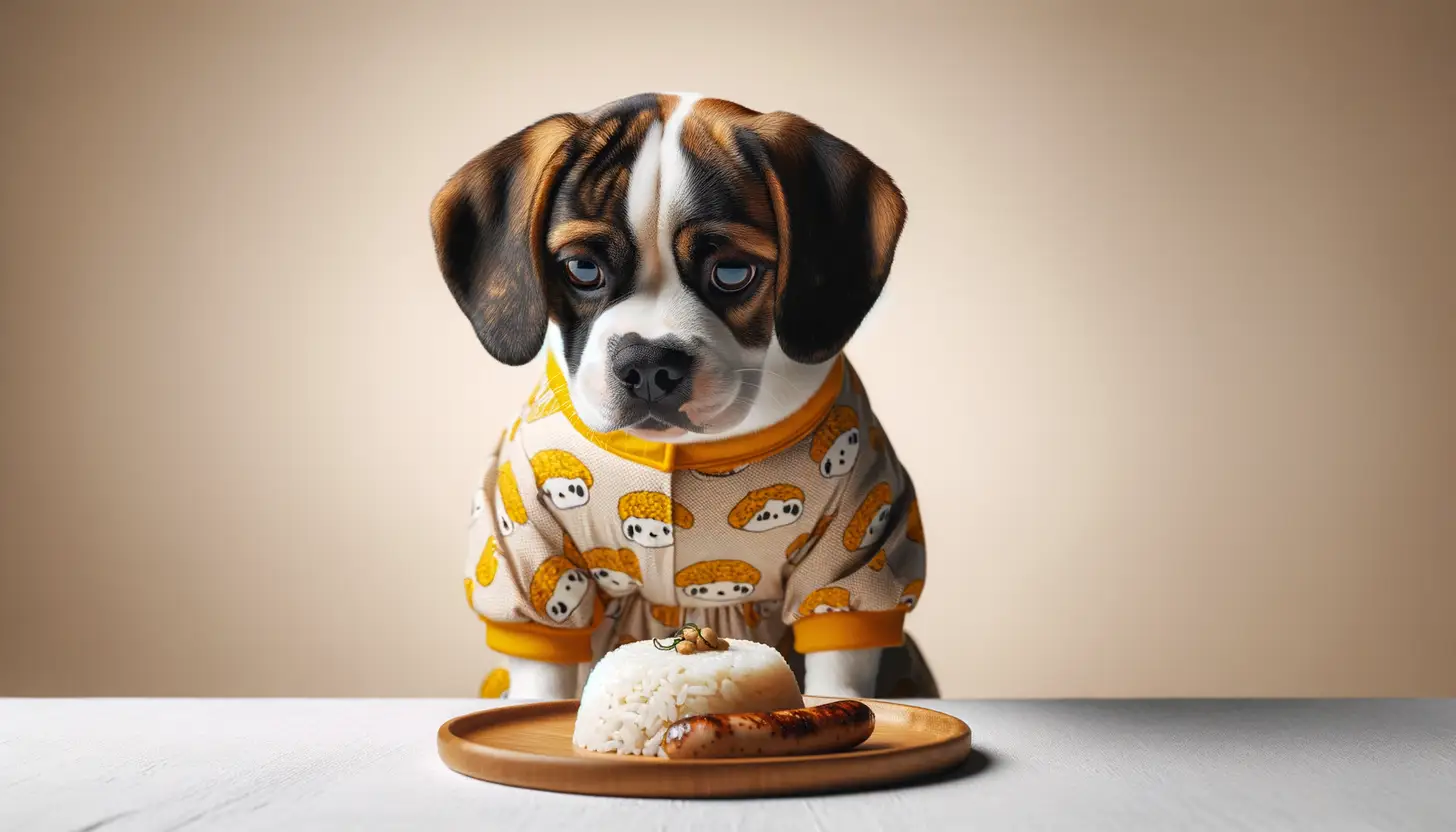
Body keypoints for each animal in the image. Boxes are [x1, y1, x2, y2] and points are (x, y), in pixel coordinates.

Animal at [430, 92, 931, 702]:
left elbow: (838, 674)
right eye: (582, 269)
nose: (648, 364)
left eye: (733, 272)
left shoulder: (851, 562)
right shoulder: (530, 559)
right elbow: (542, 681)